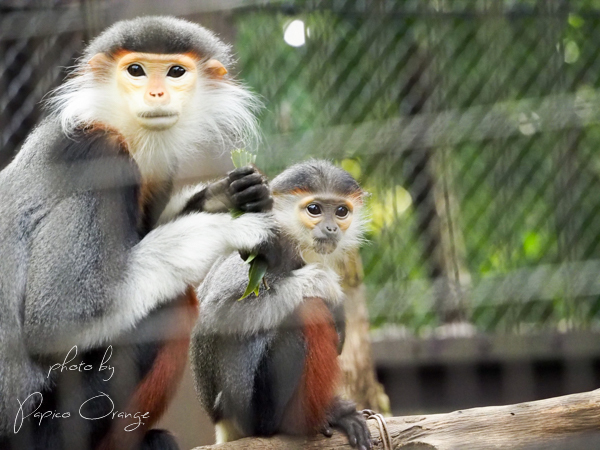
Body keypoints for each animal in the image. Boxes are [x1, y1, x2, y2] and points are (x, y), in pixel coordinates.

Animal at [0, 15, 280, 448]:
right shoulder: (96, 154)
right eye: (136, 70)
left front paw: (231, 195)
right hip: (43, 429)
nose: (156, 92)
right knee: (172, 303)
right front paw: (231, 225)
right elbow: (58, 321)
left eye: (176, 71)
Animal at [192, 160, 370, 448]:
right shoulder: (255, 252)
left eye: (341, 211)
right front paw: (328, 287)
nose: (331, 228)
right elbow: (214, 316)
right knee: (308, 310)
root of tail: (223, 421)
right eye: (314, 209)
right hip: (258, 414)